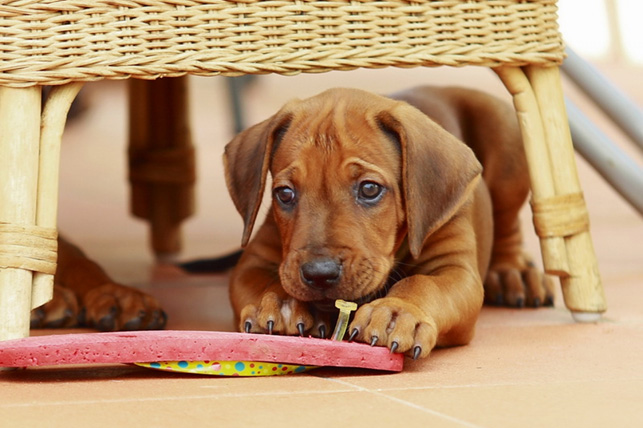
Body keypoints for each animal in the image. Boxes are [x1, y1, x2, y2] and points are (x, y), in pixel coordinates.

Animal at [225, 86, 552, 358]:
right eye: (285, 194)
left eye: (370, 189)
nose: (319, 274)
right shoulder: (253, 261)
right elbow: (265, 280)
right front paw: (279, 304)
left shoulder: (456, 268)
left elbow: (421, 283)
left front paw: (397, 312)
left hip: (510, 146)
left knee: (508, 225)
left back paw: (514, 272)